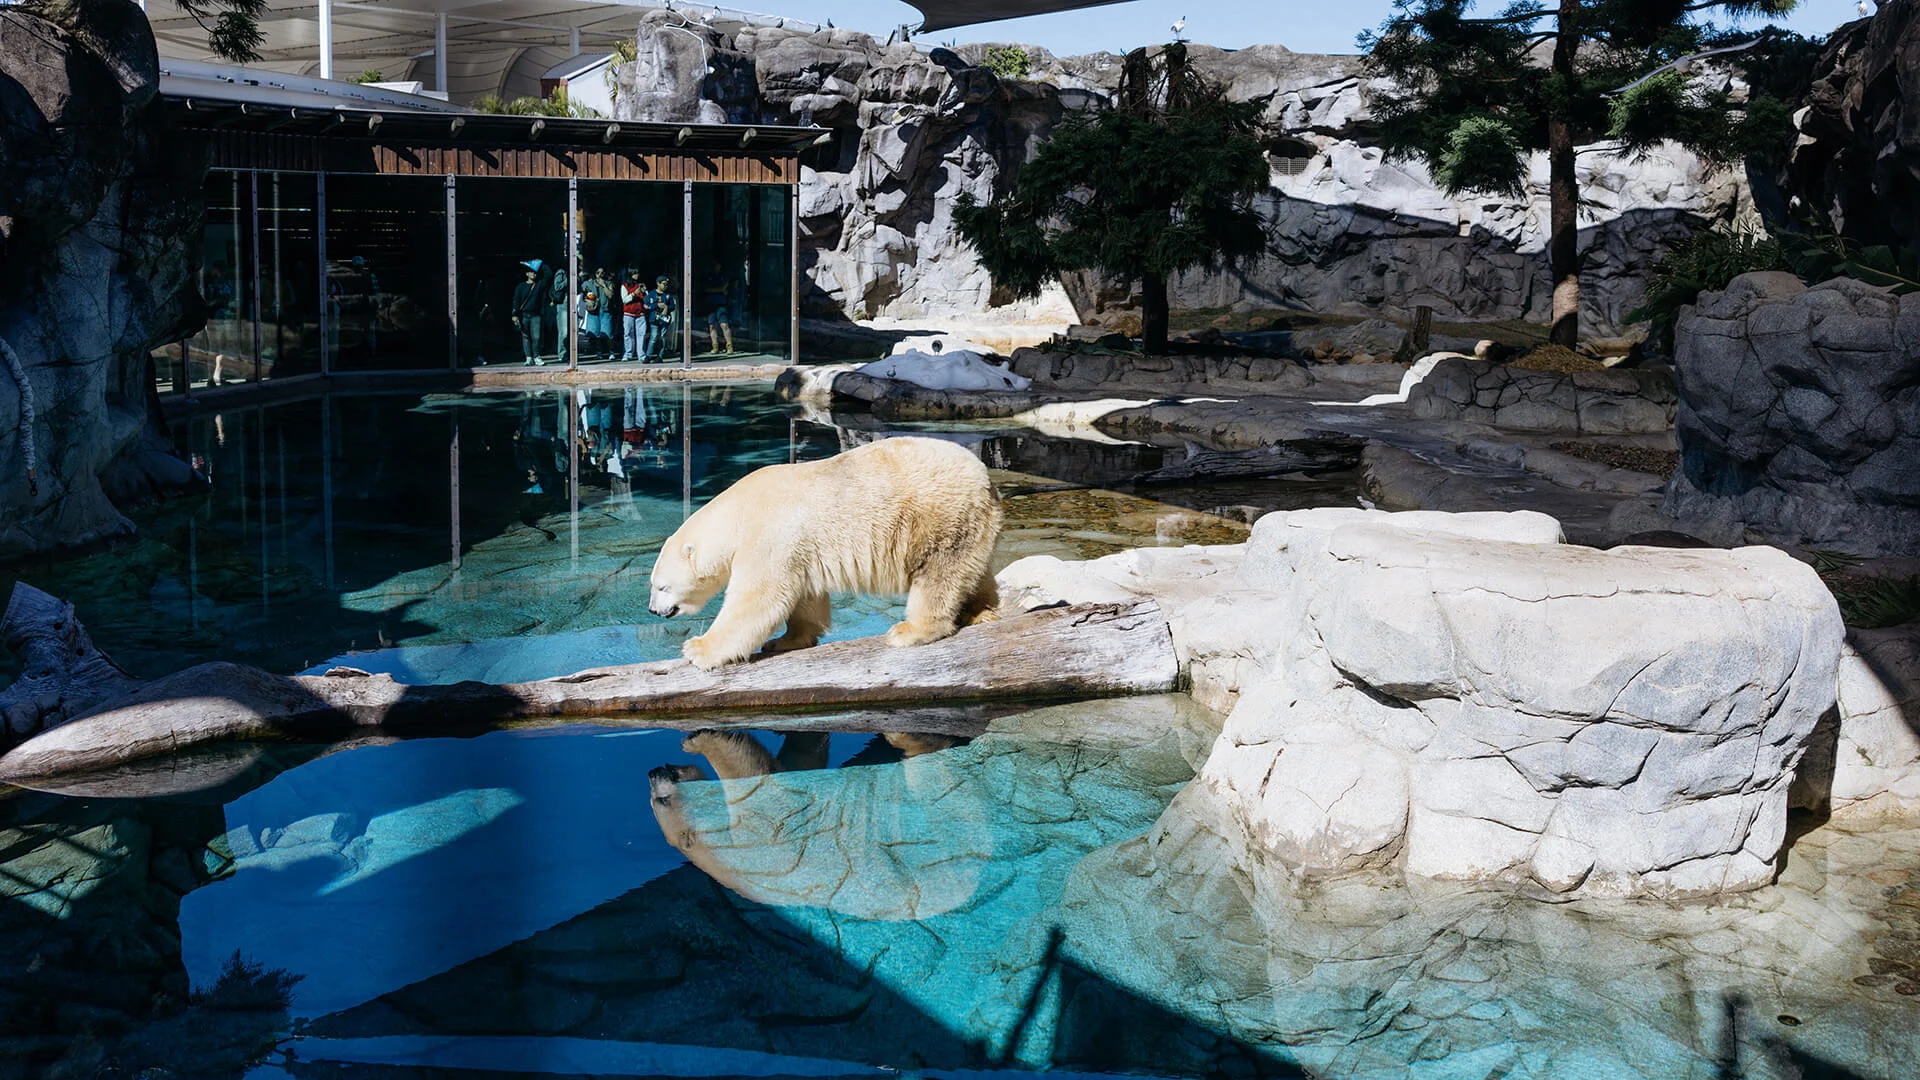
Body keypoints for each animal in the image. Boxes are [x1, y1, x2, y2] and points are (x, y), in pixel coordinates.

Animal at [647, 435, 1002, 670]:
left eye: (661, 586)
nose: (653, 610)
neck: (738, 511)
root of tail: (986, 479)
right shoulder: (798, 548)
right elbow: (804, 595)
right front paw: (786, 640)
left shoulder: (768, 533)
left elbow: (758, 599)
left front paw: (697, 649)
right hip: (971, 525)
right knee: (974, 572)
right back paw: (981, 611)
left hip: (939, 518)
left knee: (937, 576)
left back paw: (910, 631)